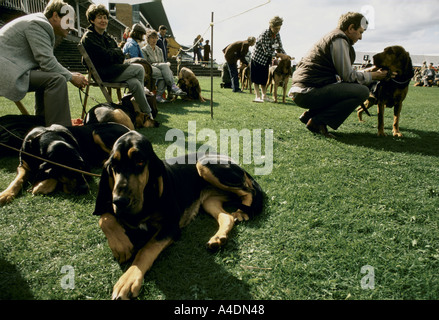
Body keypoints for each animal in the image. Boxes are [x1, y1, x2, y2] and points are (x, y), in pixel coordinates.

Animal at [0, 122, 131, 205]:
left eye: (81, 167)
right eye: (66, 169)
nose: (84, 188)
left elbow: (51, 175)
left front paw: (40, 186)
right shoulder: (23, 166)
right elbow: (17, 180)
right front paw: (5, 194)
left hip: (97, 132)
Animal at [94, 131, 262, 300]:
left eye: (140, 162)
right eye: (113, 165)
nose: (119, 201)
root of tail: (230, 159)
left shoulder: (171, 226)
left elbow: (146, 249)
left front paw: (127, 281)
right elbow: (105, 219)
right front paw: (121, 245)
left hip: (204, 164)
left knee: (249, 190)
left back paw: (243, 211)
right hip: (209, 200)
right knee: (227, 216)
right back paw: (218, 238)